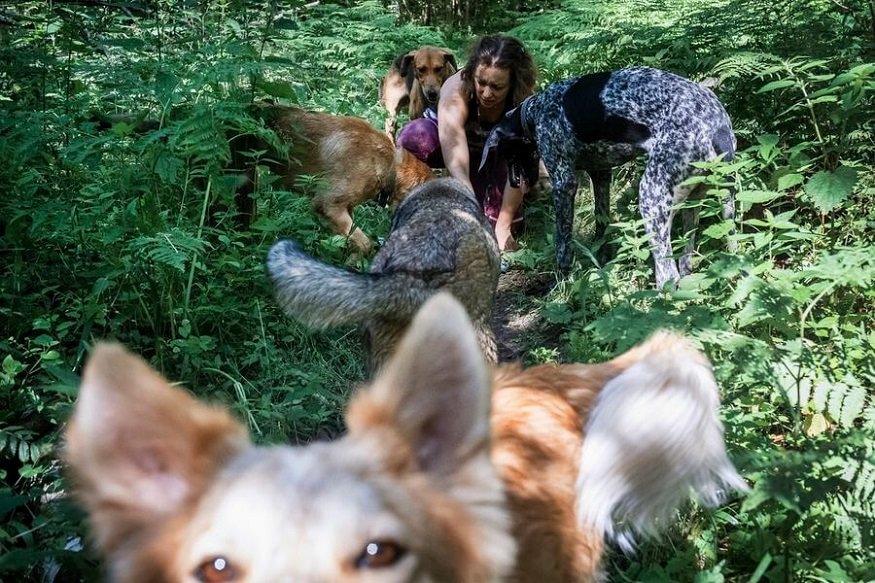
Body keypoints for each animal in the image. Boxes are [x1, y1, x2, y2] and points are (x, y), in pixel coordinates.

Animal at [482, 66, 736, 288]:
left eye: (508, 154)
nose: (516, 182)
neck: (535, 111)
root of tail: (717, 126)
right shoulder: (601, 175)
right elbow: (601, 223)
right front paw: (602, 260)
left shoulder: (564, 184)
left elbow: (562, 244)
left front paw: (562, 281)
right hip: (701, 204)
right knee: (689, 261)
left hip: (652, 199)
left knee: (667, 274)